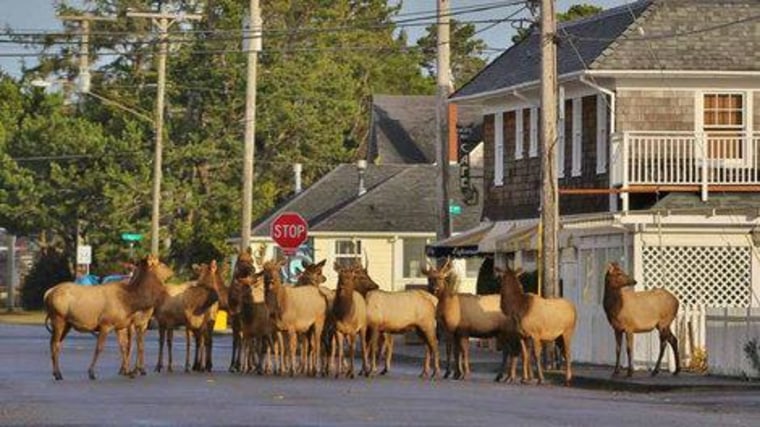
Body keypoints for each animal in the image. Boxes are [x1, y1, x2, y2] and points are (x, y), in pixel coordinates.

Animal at [45, 254, 170, 382]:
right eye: (161, 264)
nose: (171, 271)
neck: (130, 301)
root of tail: (48, 294)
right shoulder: (106, 324)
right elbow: (100, 348)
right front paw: (91, 372)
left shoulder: (120, 326)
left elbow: (124, 348)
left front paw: (128, 371)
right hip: (58, 319)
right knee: (55, 344)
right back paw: (58, 374)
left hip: (67, 324)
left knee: (55, 343)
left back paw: (56, 373)